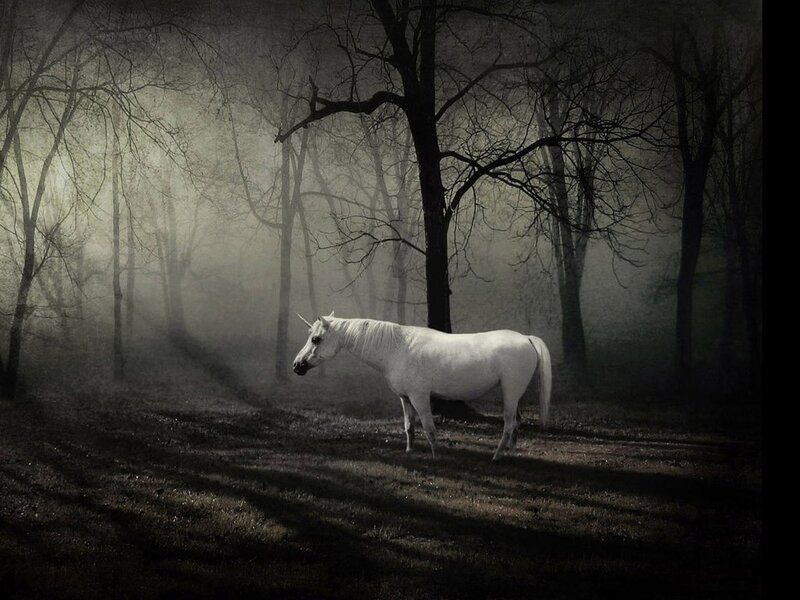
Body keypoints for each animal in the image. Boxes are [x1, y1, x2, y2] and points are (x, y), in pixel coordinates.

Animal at [292, 311, 552, 461]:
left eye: (316, 339)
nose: (296, 366)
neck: (398, 349)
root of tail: (526, 338)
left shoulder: (420, 397)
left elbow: (429, 428)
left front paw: (436, 457)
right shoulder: (405, 398)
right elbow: (410, 426)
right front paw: (409, 451)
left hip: (510, 393)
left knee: (508, 425)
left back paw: (496, 457)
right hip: (515, 395)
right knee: (516, 424)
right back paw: (511, 453)